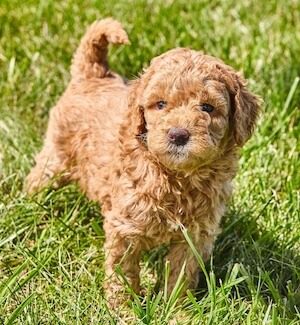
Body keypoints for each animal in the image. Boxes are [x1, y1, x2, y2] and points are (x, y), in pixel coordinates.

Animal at [25, 17, 260, 306]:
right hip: (55, 157)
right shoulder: (124, 226)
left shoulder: (195, 234)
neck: (176, 177)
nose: (178, 134)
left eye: (207, 108)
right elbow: (122, 270)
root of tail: (94, 74)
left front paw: (177, 308)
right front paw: (124, 307)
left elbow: (182, 273)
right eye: (160, 104)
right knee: (38, 180)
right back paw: (26, 206)